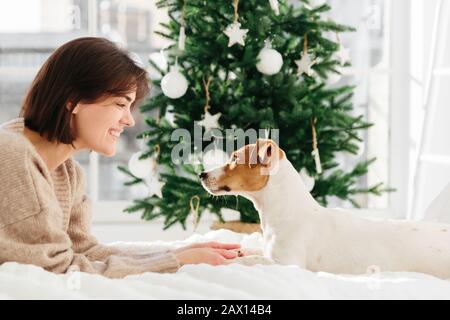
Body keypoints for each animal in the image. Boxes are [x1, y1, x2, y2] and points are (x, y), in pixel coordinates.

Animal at [201, 139, 450, 278]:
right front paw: (241, 251)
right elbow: (254, 251)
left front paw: (233, 259)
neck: (286, 212)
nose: (201, 174)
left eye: (234, 158)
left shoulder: (289, 264)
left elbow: (253, 260)